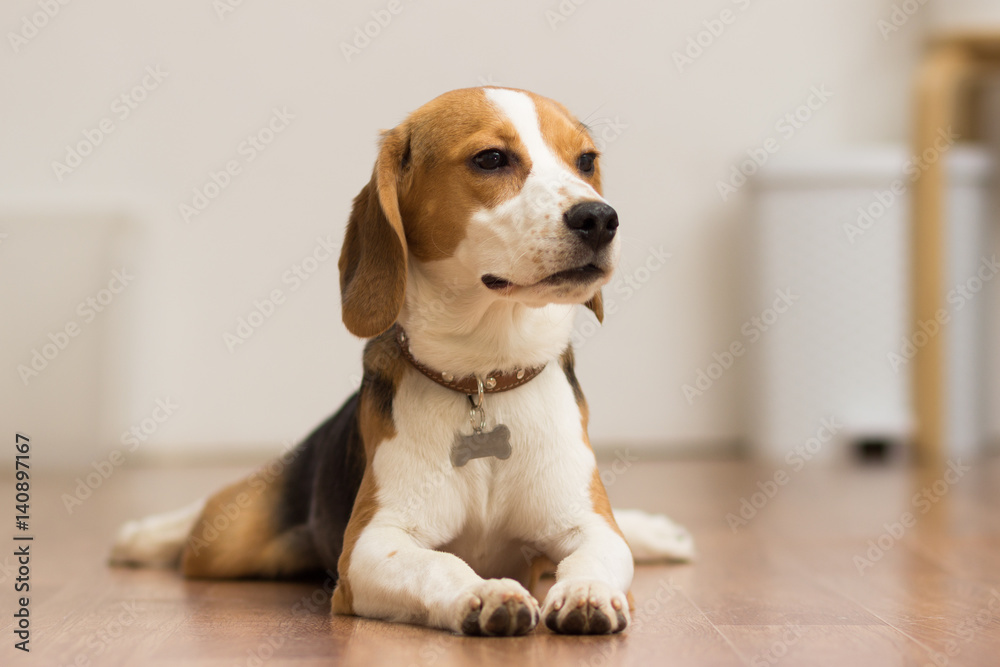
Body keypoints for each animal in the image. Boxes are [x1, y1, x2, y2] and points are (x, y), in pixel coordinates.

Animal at [109, 88, 688, 636]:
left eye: (585, 161)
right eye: (491, 159)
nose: (599, 217)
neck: (485, 375)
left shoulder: (587, 526)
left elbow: (598, 552)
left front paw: (587, 592)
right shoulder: (371, 546)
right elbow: (440, 566)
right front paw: (484, 593)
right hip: (226, 543)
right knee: (201, 520)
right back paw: (144, 535)